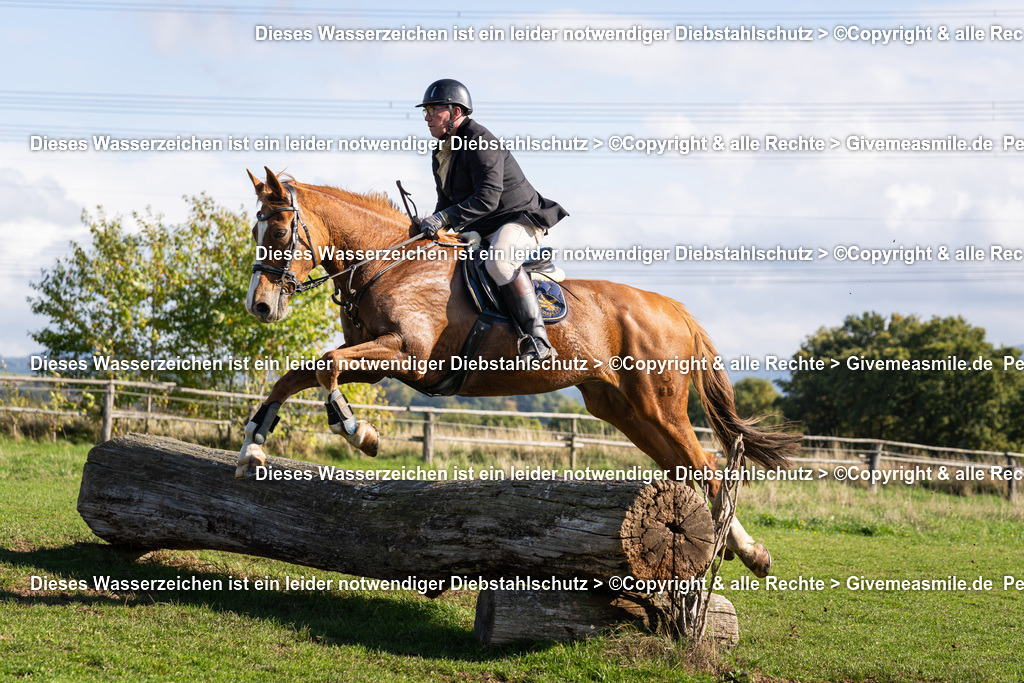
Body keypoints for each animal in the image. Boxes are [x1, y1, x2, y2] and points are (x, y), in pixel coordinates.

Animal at [237, 165, 798, 577]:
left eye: (281, 231)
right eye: (256, 230)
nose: (259, 306)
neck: (387, 265)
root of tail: (673, 308)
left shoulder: (406, 355)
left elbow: (326, 370)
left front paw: (360, 432)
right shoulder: (375, 361)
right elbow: (297, 375)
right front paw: (253, 447)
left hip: (659, 406)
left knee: (706, 464)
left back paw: (747, 551)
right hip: (625, 411)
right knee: (686, 466)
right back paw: (741, 549)